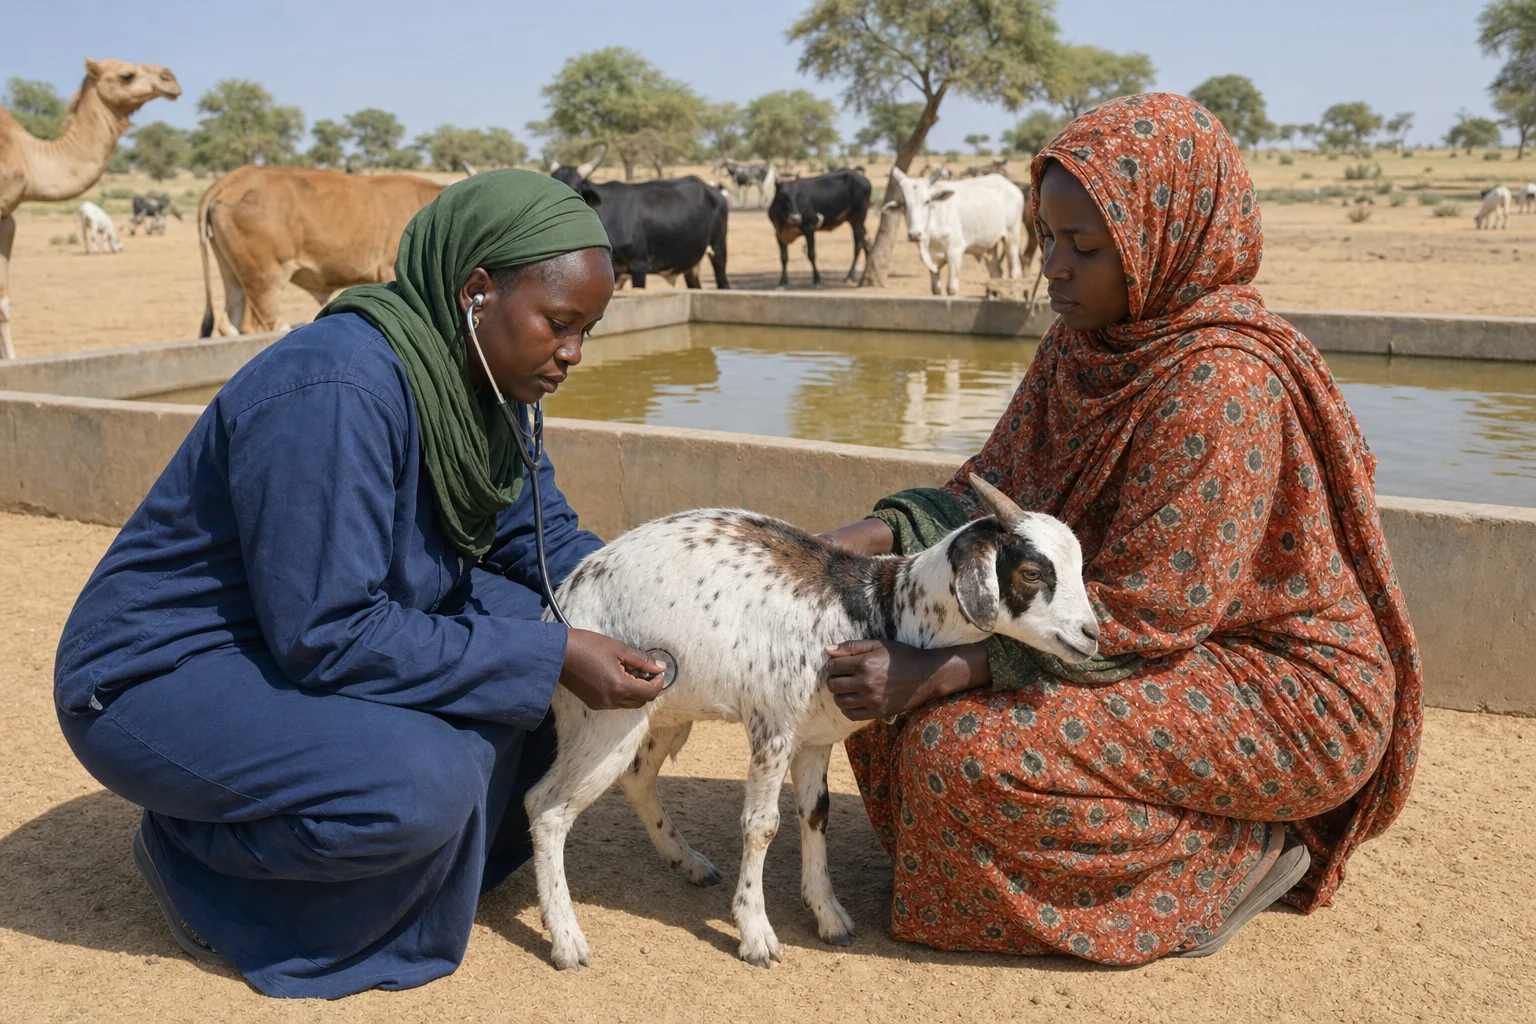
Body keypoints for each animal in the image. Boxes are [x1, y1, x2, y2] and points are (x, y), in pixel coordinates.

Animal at [525, 476, 1099, 970]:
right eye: (1032, 572)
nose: (1092, 635)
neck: (877, 609)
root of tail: (560, 607)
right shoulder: (772, 727)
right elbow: (761, 824)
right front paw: (756, 934)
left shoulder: (816, 736)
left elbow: (816, 813)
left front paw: (828, 915)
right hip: (606, 714)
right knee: (546, 807)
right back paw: (568, 941)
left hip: (663, 709)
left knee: (637, 777)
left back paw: (687, 862)